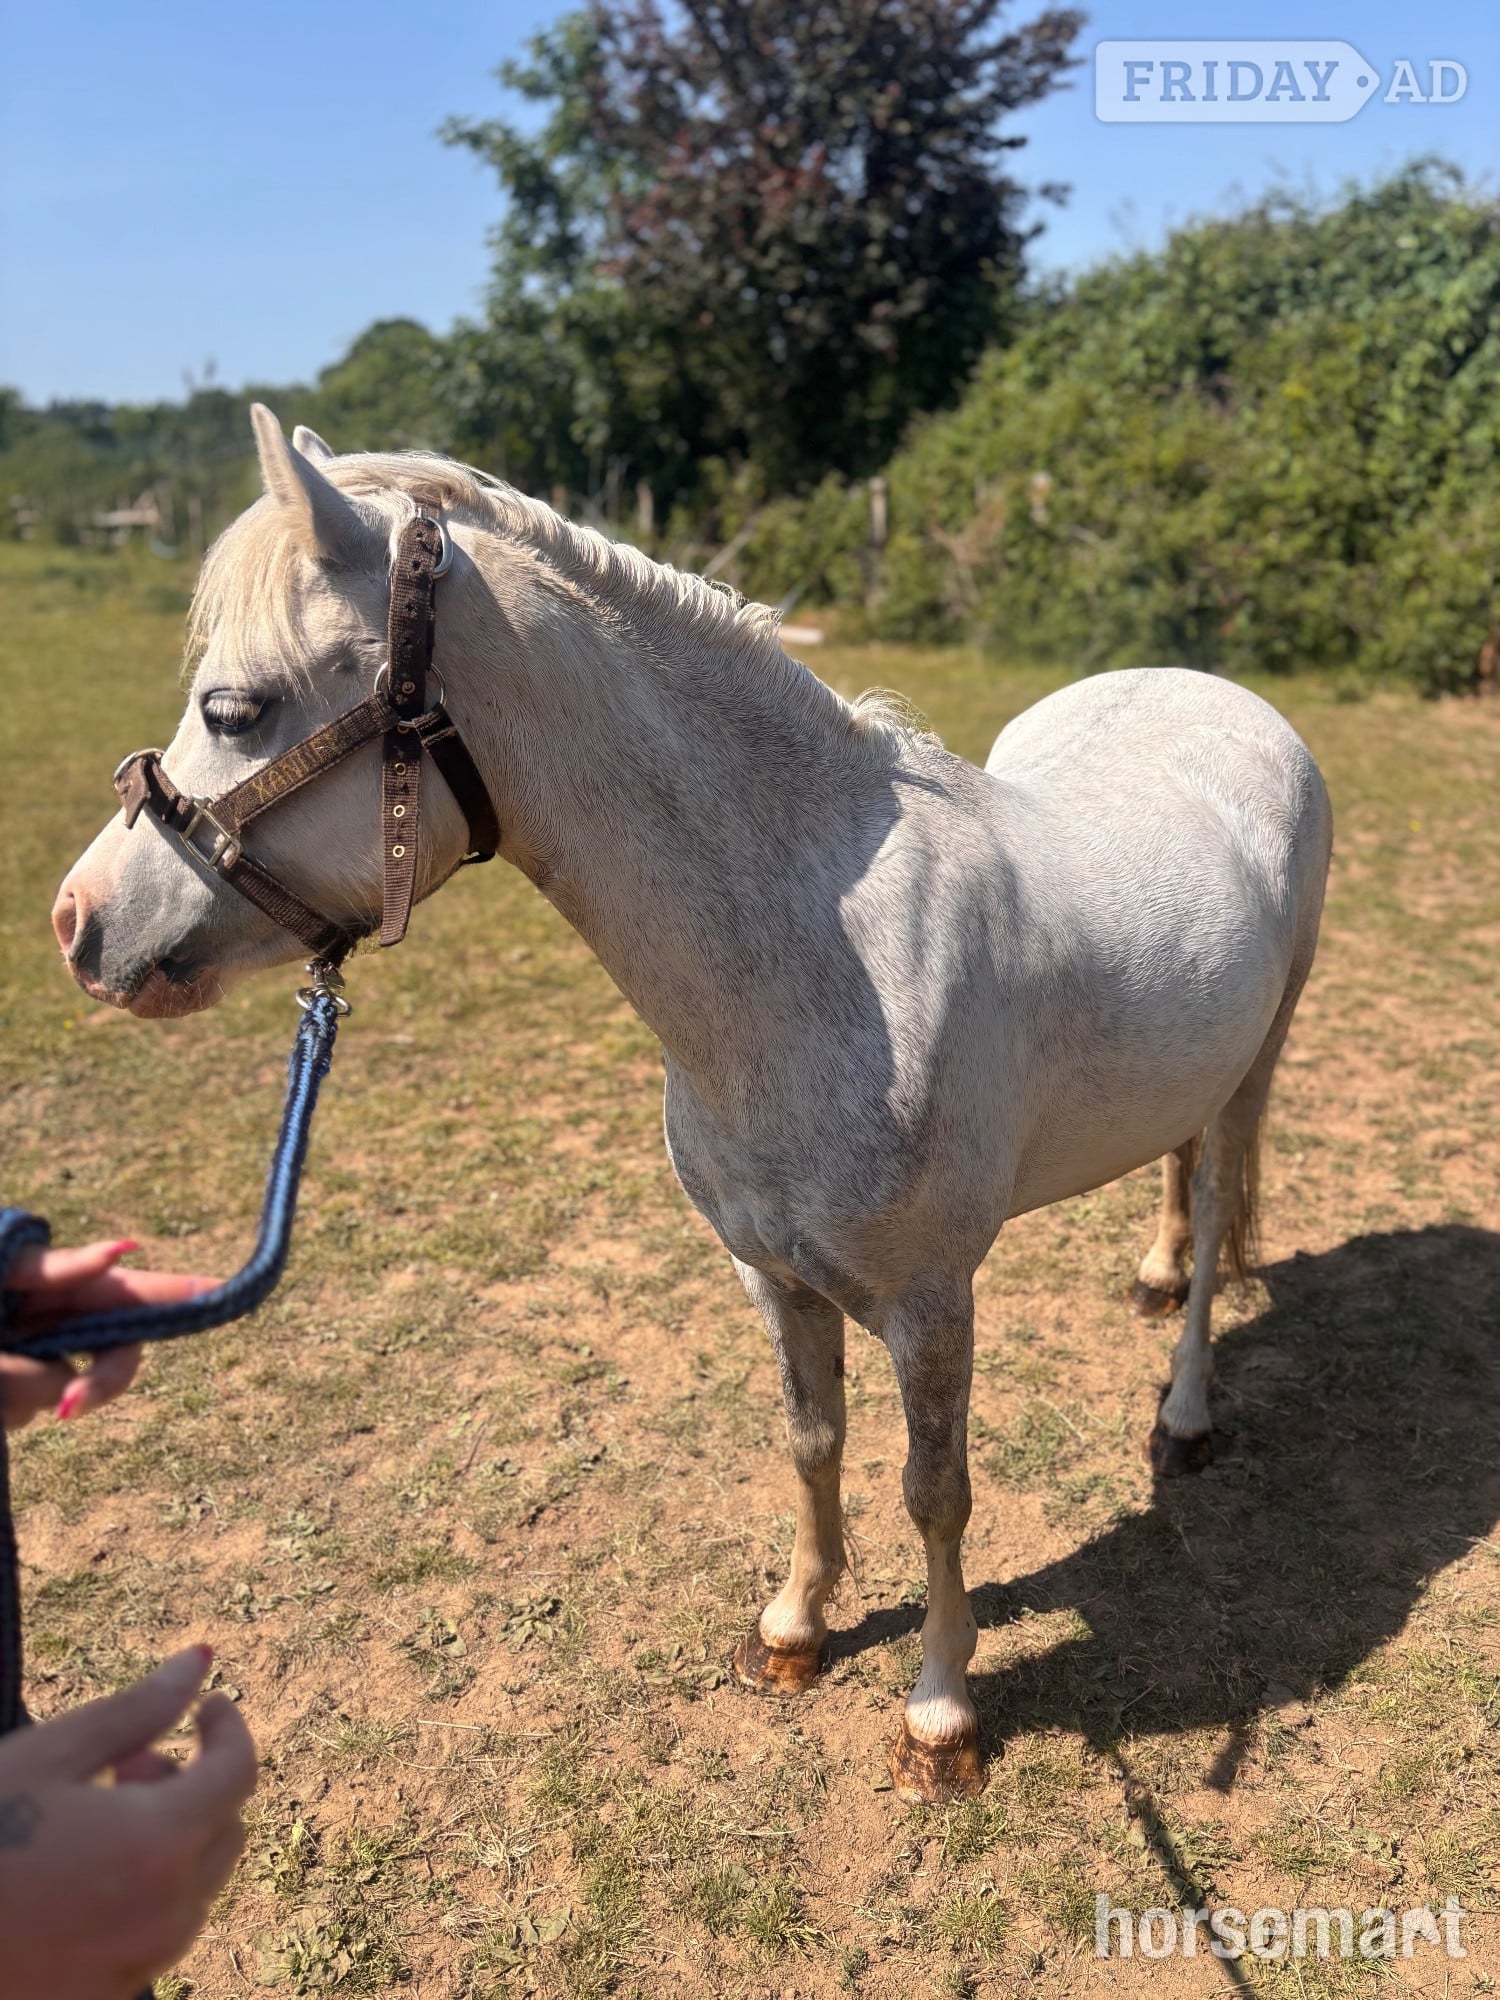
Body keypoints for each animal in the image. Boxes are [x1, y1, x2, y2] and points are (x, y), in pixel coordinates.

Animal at [53, 408, 1332, 1802]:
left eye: (234, 705)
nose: (77, 923)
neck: (824, 964)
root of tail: (1223, 693)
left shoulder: (933, 1300)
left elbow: (935, 1488)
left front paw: (940, 1711)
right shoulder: (773, 1274)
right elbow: (814, 1440)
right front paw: (796, 1629)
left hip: (1267, 1046)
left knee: (1220, 1202)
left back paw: (1186, 1412)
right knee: (1179, 1164)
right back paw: (1152, 1277)